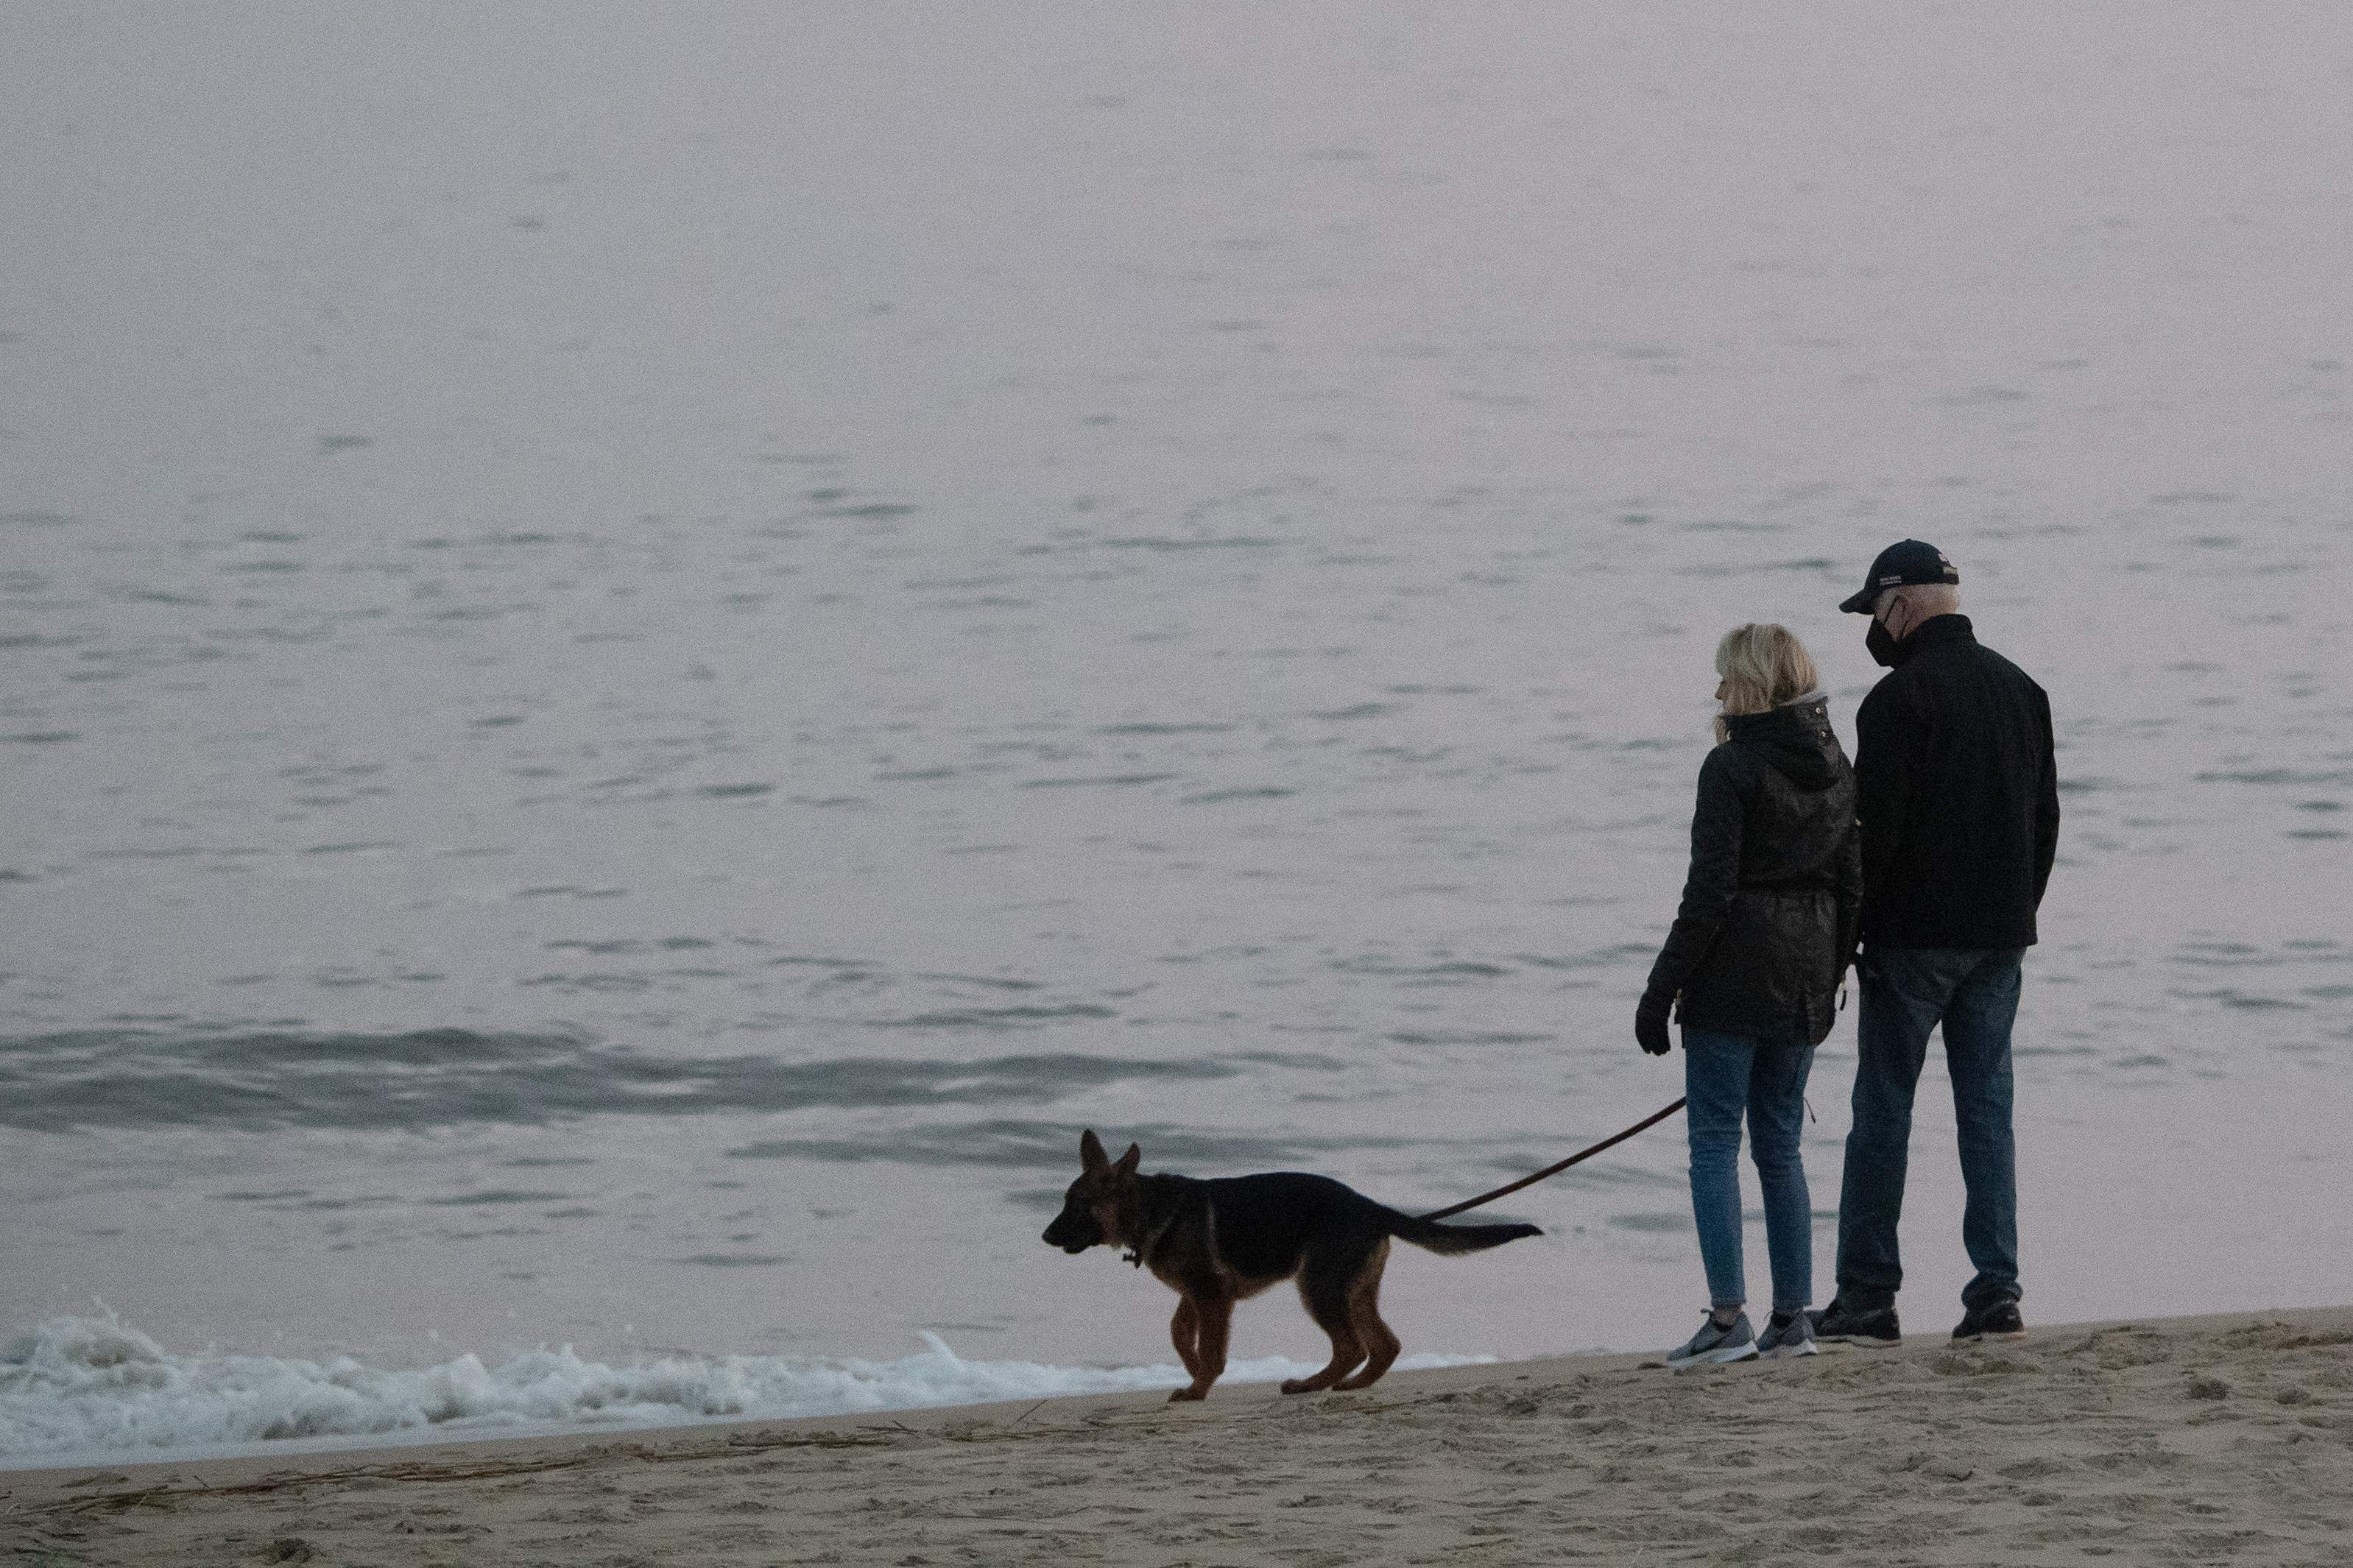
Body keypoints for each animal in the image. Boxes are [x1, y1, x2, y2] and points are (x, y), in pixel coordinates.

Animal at [1049, 1130, 1543, 1394]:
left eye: (1078, 1205)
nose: (1045, 1237)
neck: (1151, 1209)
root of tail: (1371, 1207)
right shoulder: (1199, 1295)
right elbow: (1178, 1333)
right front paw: (1193, 1374)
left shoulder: (1212, 1296)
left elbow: (1209, 1346)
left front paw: (1200, 1386)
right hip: (1353, 1289)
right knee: (1384, 1345)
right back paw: (1352, 1385)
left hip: (1318, 1287)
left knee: (1352, 1346)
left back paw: (1311, 1384)